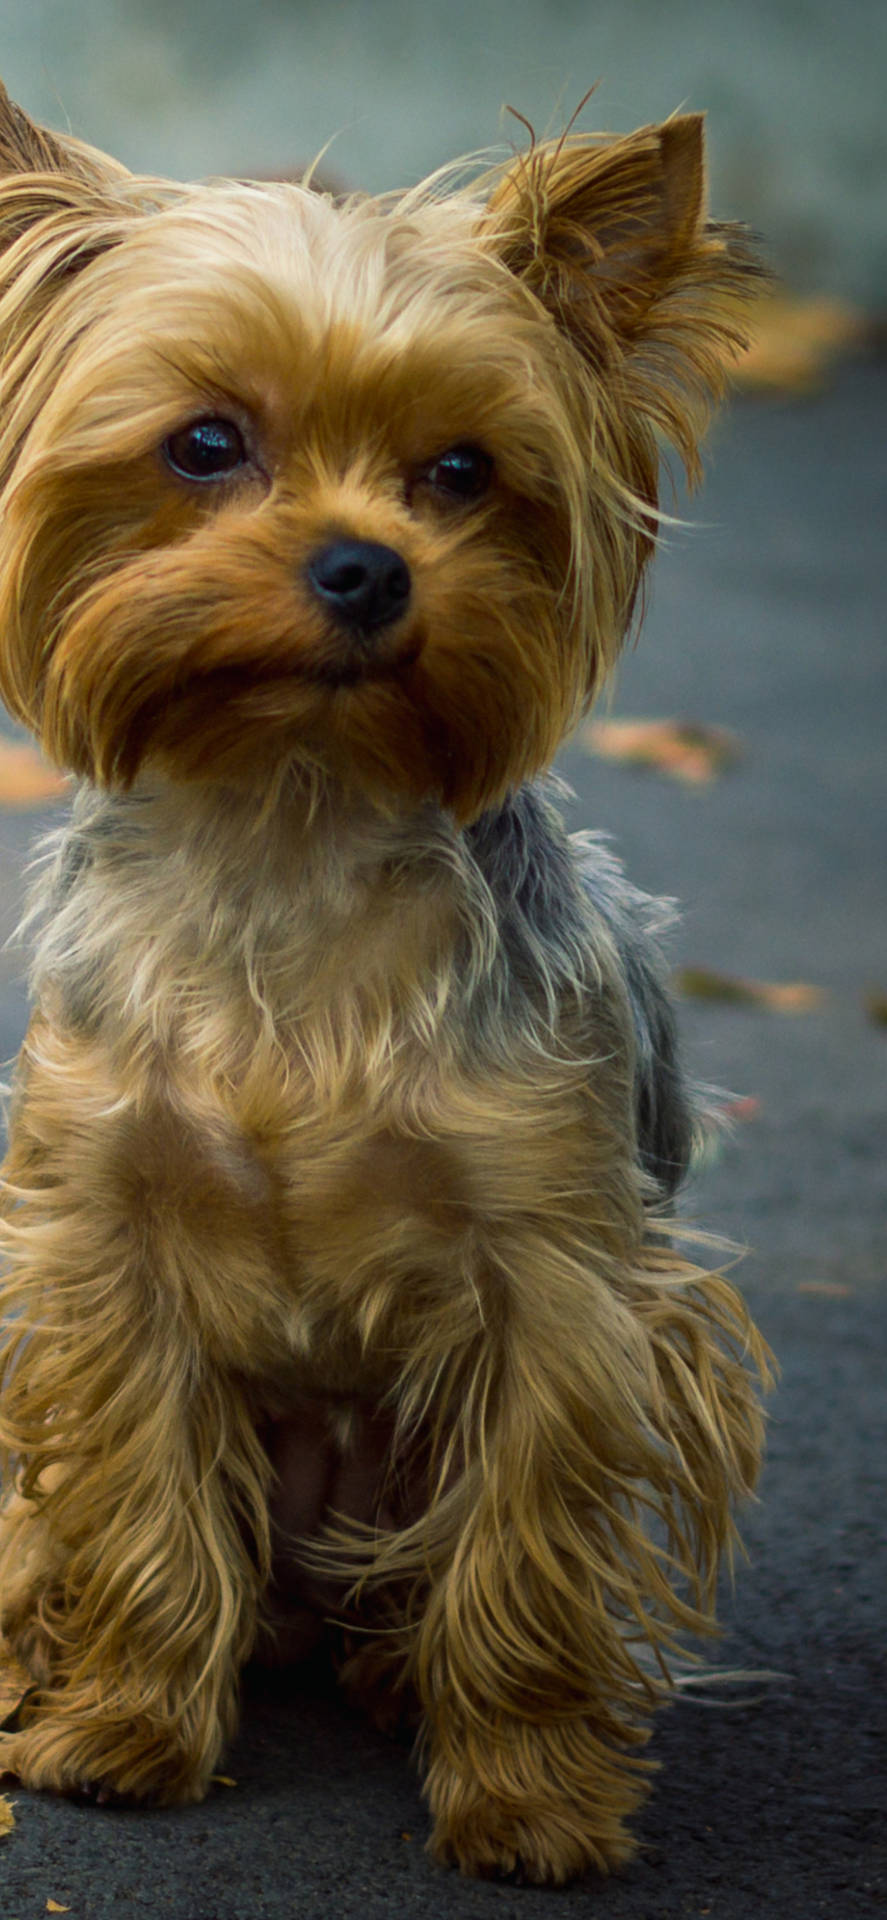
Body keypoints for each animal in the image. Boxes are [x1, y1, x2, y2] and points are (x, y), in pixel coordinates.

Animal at [0, 82, 764, 1881]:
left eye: (462, 471)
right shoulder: (101, 1247)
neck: (292, 817)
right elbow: (132, 1502)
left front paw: (528, 1795)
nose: (367, 568)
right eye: (204, 444)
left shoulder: (560, 1279)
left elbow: (524, 1550)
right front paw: (121, 1732)